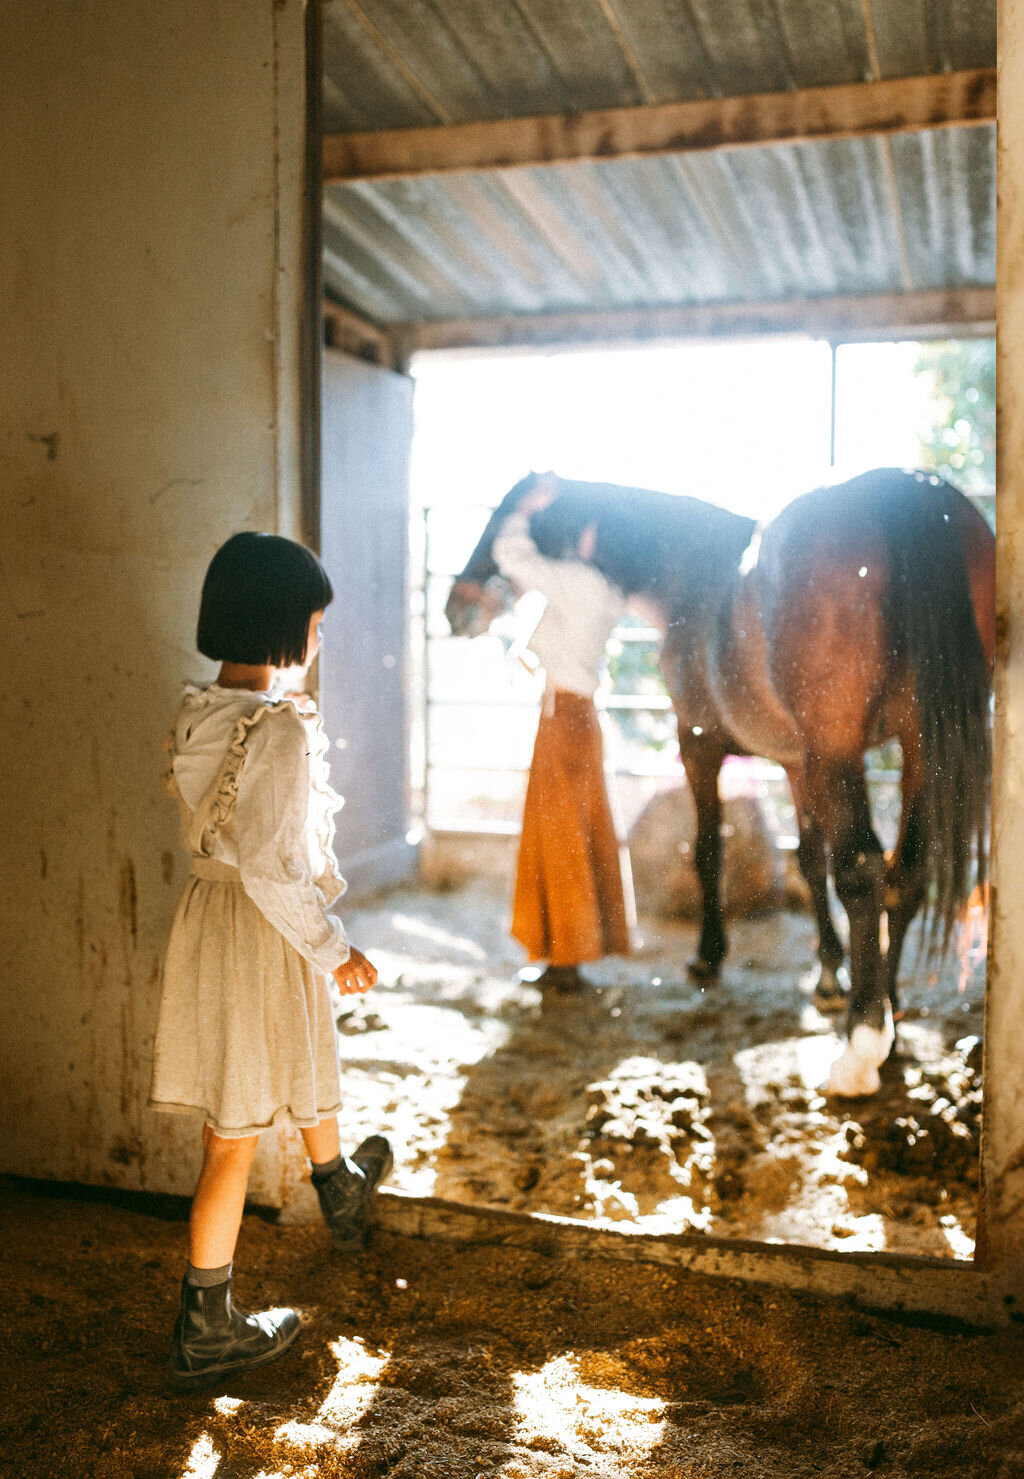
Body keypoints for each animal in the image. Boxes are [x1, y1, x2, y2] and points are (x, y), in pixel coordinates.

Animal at [446, 467, 994, 1094]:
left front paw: (708, 957)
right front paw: (829, 976)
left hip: (841, 752)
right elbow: (808, 858)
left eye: (500, 519)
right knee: (908, 871)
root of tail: (910, 487)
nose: (455, 608)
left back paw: (860, 1048)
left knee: (862, 871)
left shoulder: (699, 743)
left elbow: (709, 851)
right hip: (920, 747)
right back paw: (889, 1010)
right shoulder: (796, 762)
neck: (694, 576)